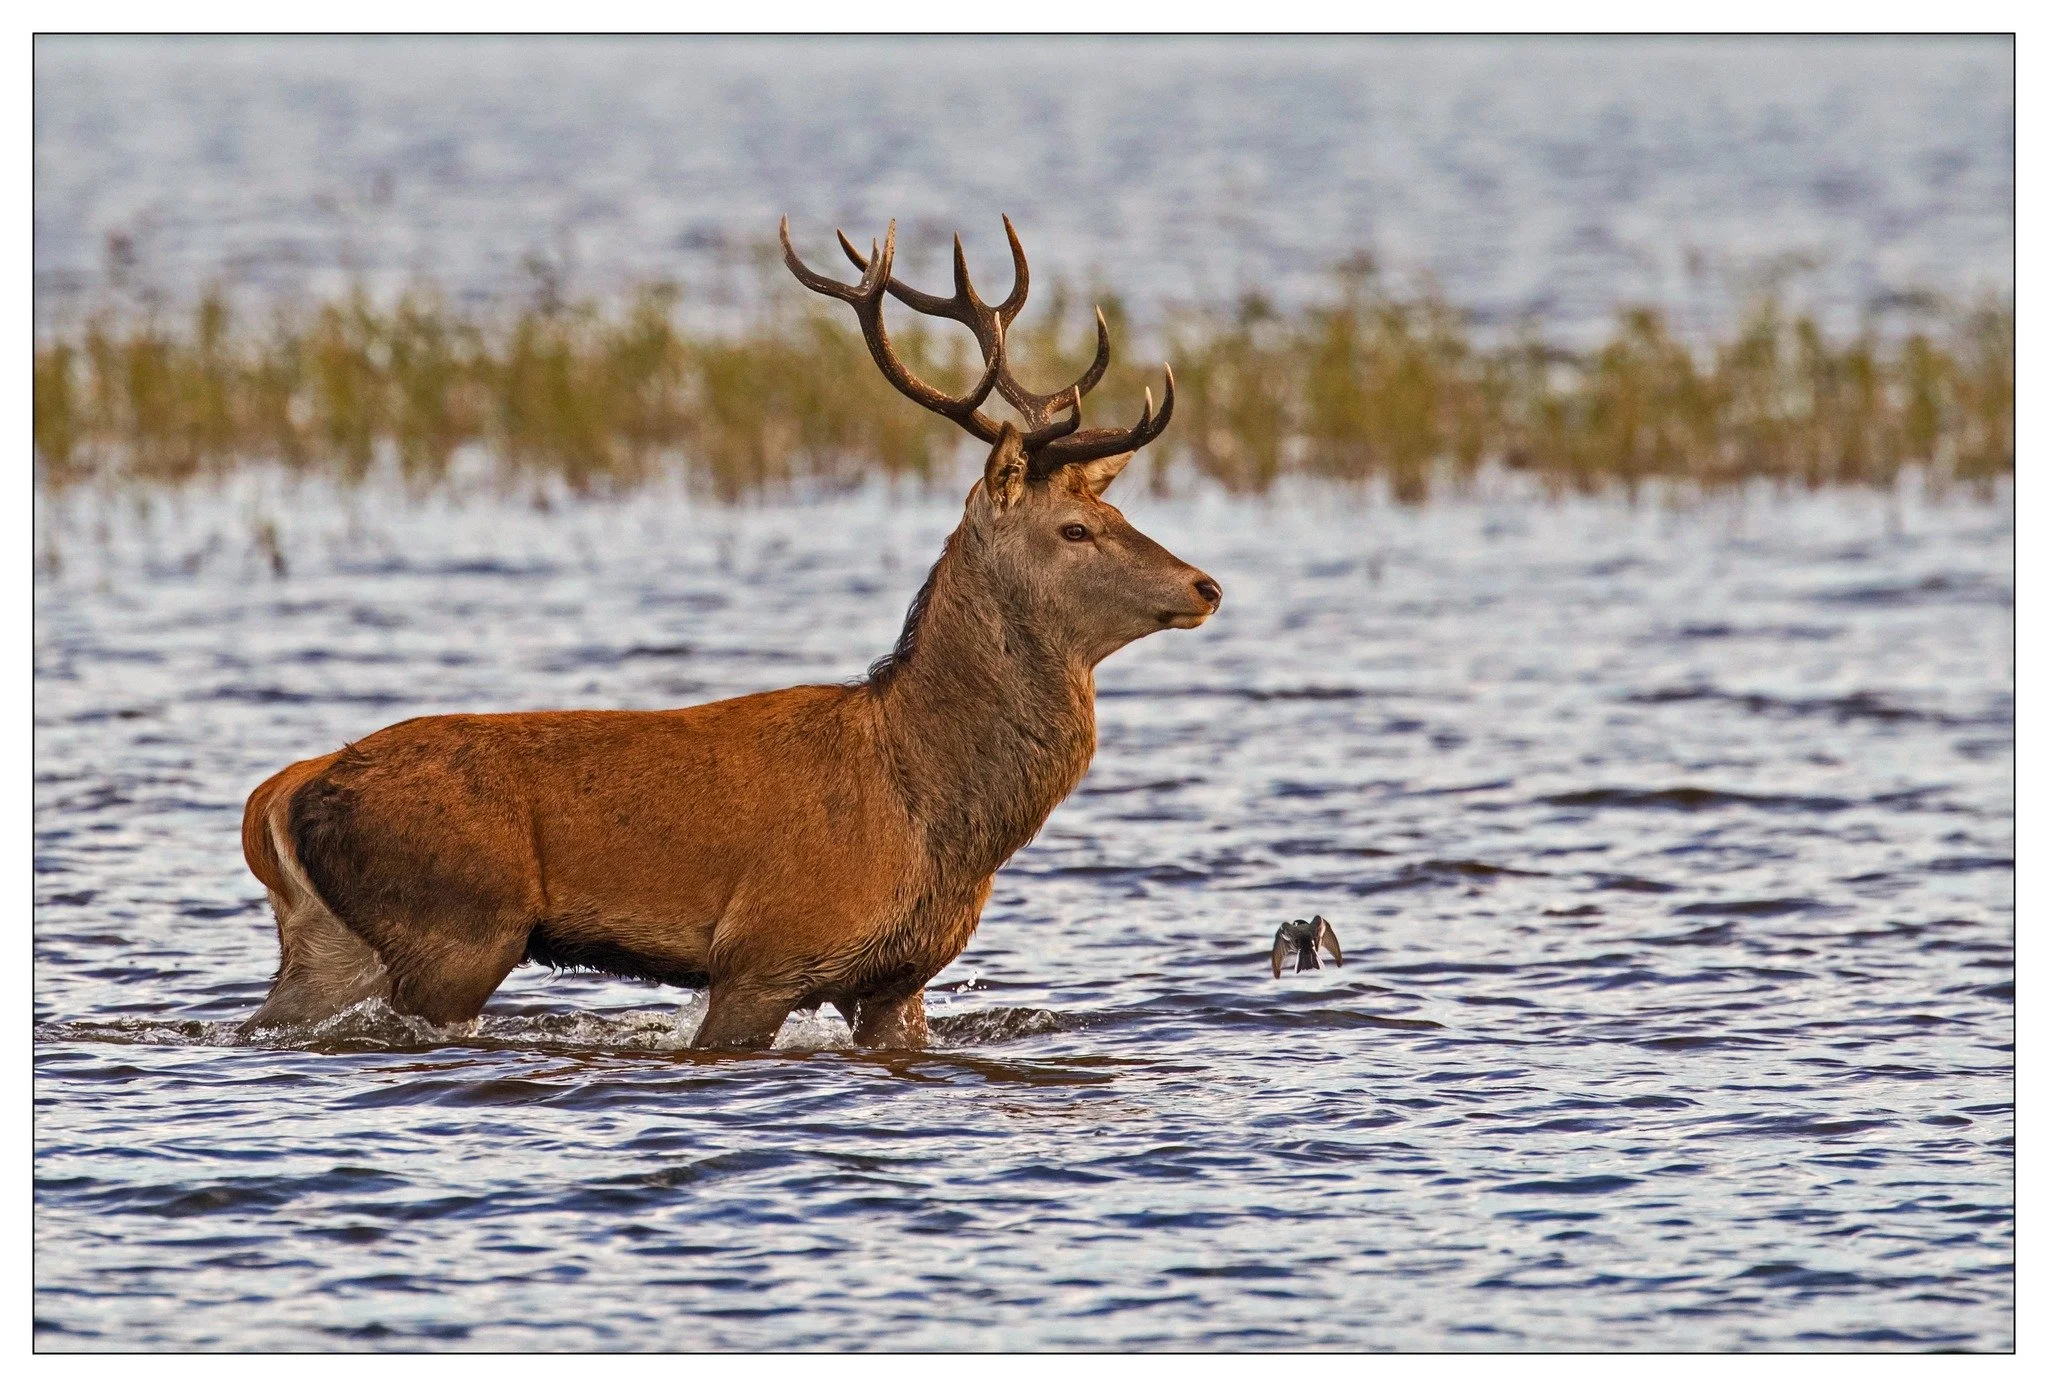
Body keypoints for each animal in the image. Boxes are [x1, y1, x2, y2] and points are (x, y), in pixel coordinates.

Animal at [237, 216, 1221, 1050]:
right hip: (458, 928)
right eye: (1076, 529)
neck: (930, 806)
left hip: (330, 940)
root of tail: (283, 791)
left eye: (1117, 509)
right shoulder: (765, 951)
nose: (1204, 584)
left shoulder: (899, 979)